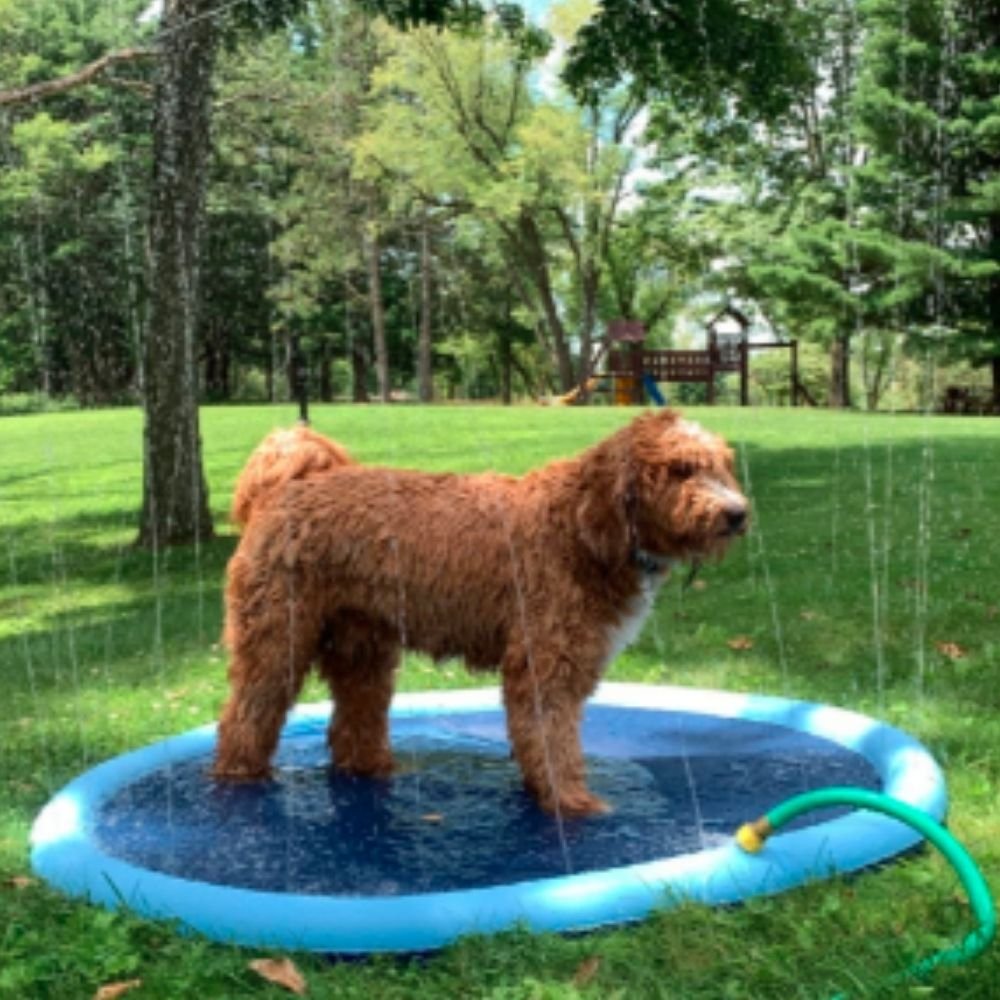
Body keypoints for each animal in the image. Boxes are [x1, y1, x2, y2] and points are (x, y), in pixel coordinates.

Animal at [215, 410, 748, 816]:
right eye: (680, 469)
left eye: (722, 466)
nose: (737, 513)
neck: (583, 527)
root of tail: (287, 486)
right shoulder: (544, 664)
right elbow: (552, 741)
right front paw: (572, 805)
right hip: (276, 638)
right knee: (245, 717)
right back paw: (239, 780)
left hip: (361, 645)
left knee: (353, 726)